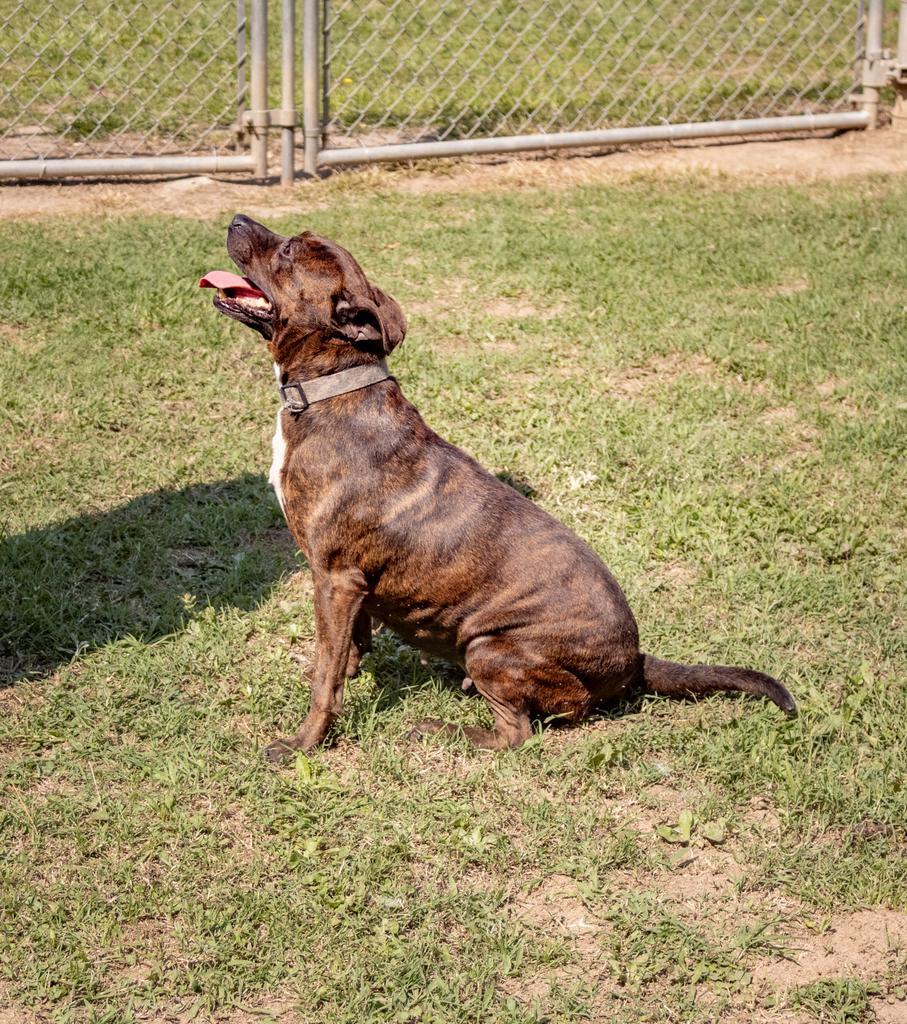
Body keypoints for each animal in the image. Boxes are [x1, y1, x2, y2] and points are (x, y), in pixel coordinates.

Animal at [203, 214, 794, 761]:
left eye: (288, 250)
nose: (236, 219)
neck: (333, 391)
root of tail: (635, 660)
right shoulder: (350, 589)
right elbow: (345, 651)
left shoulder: (336, 580)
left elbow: (324, 678)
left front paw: (305, 742)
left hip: (489, 648)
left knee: (528, 729)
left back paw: (444, 729)